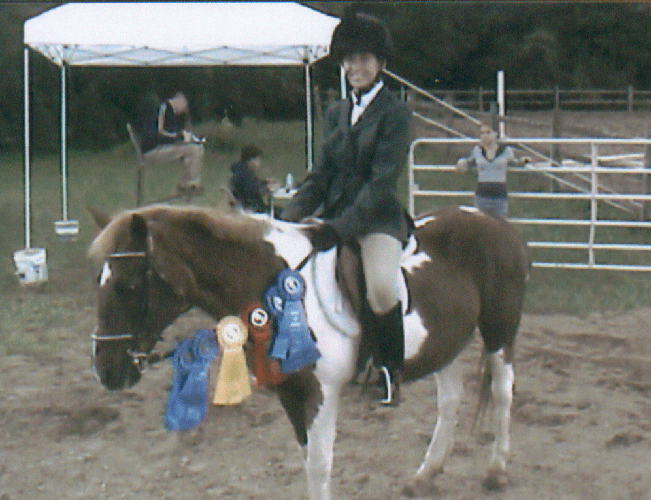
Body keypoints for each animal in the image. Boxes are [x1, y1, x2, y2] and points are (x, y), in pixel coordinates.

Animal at [88, 203, 528, 500]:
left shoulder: (321, 393)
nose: (104, 371)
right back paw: (425, 474)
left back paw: (497, 471)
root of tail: (495, 221)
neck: (277, 292)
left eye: (127, 285)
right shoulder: (291, 393)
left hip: (498, 333)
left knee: (503, 391)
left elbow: (319, 465)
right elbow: (306, 461)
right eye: (100, 281)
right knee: (450, 401)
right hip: (444, 343)